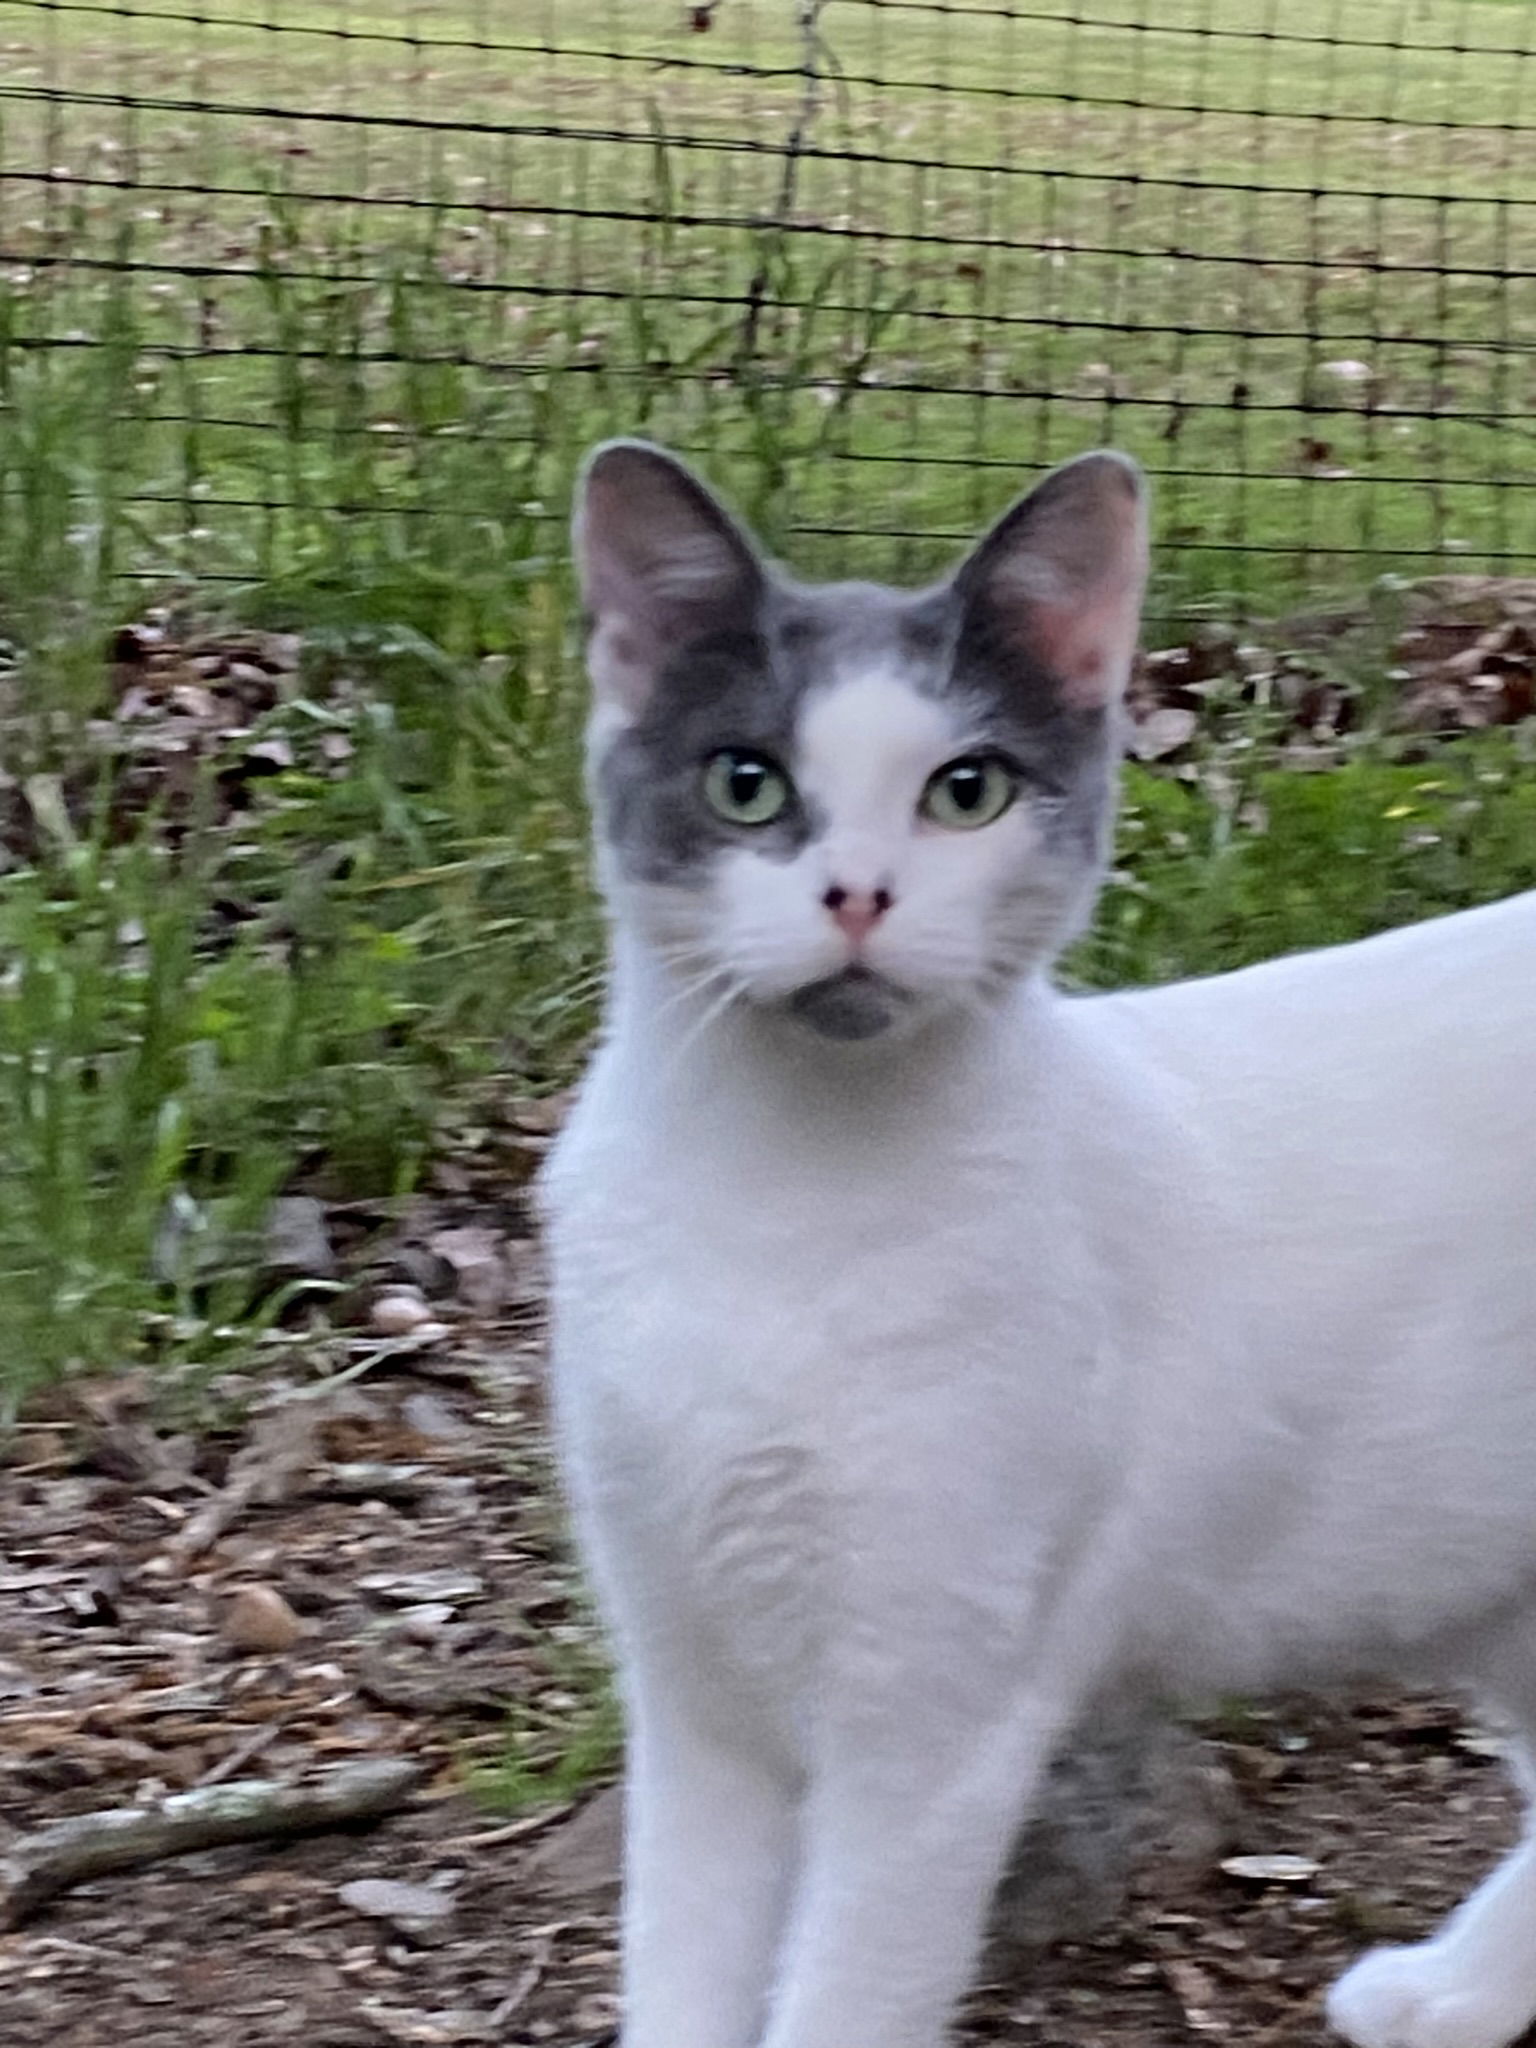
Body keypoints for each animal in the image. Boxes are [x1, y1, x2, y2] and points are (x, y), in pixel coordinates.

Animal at [540, 444, 1536, 2048]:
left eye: (968, 791)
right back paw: (1456, 1991)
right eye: (747, 782)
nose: (858, 894)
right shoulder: (692, 1694)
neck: (780, 1194)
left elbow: (841, 1998)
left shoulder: (928, 1728)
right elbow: (683, 1980)